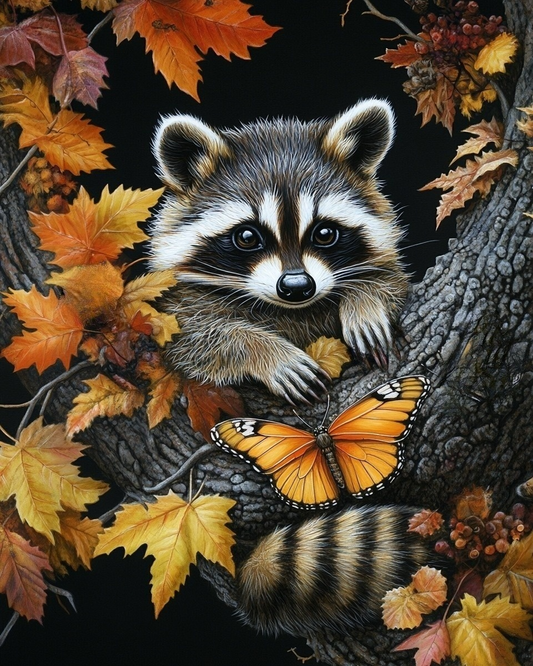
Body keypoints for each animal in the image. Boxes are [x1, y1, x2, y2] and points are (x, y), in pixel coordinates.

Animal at [150, 100, 408, 403]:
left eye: (324, 234)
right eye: (247, 237)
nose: (297, 287)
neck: (290, 310)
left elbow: (394, 280)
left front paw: (364, 297)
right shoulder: (174, 306)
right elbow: (189, 338)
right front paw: (264, 349)